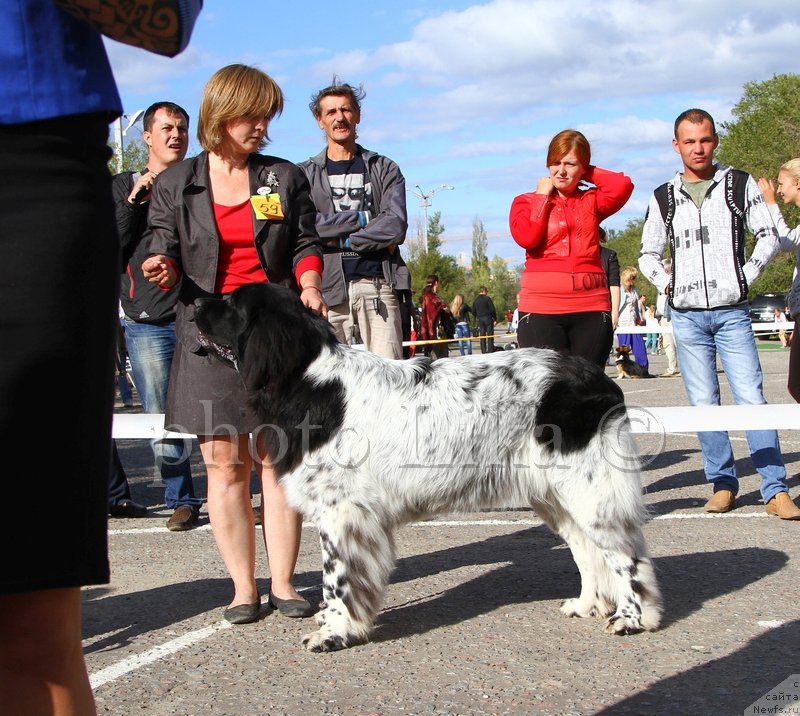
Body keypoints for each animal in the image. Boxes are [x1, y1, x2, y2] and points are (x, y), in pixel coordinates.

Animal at [194, 282, 664, 652]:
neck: (308, 379)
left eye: (231, 302)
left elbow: (336, 580)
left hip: (590, 491)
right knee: (587, 551)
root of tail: (598, 379)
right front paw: (334, 622)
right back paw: (585, 605)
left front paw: (334, 632)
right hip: (556, 497)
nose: (194, 301)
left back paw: (632, 618)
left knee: (626, 557)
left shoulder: (342, 513)